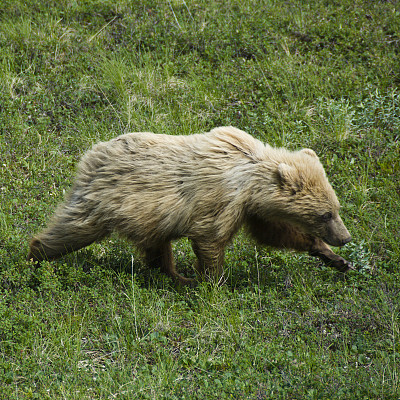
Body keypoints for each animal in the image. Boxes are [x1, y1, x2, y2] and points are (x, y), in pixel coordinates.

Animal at [28, 126, 352, 284]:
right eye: (325, 214)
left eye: (336, 209)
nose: (346, 238)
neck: (252, 179)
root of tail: (90, 155)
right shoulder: (223, 199)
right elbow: (210, 238)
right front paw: (215, 280)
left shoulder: (252, 210)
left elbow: (274, 233)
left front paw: (332, 257)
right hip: (107, 200)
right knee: (71, 231)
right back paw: (35, 256)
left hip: (146, 216)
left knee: (157, 246)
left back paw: (175, 276)